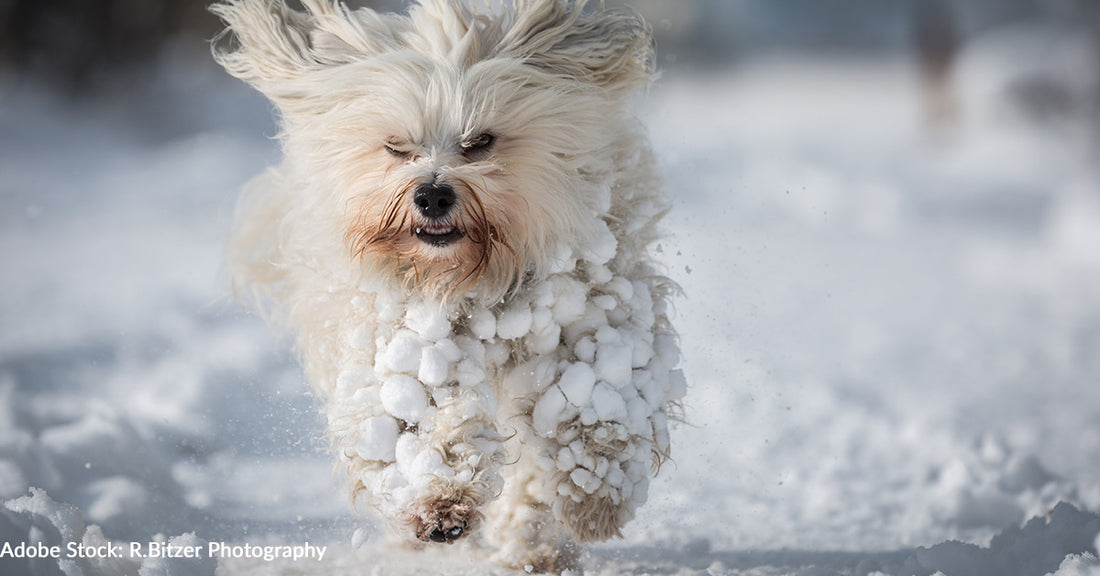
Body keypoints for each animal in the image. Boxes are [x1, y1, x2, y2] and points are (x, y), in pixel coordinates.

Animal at [210, 0, 682, 567]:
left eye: (480, 142)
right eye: (396, 146)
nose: (433, 195)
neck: (473, 274)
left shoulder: (590, 306)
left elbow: (597, 395)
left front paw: (594, 494)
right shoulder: (409, 327)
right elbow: (422, 412)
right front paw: (440, 503)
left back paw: (533, 546)